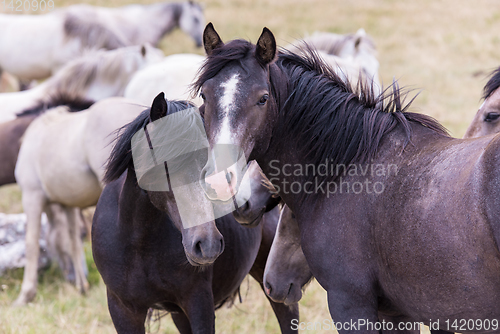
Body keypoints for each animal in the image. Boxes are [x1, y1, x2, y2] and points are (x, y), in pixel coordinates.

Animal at [194, 24, 500, 332]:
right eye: (204, 97)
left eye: (262, 98)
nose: (220, 180)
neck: (346, 167)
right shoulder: (397, 314)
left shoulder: (350, 302)